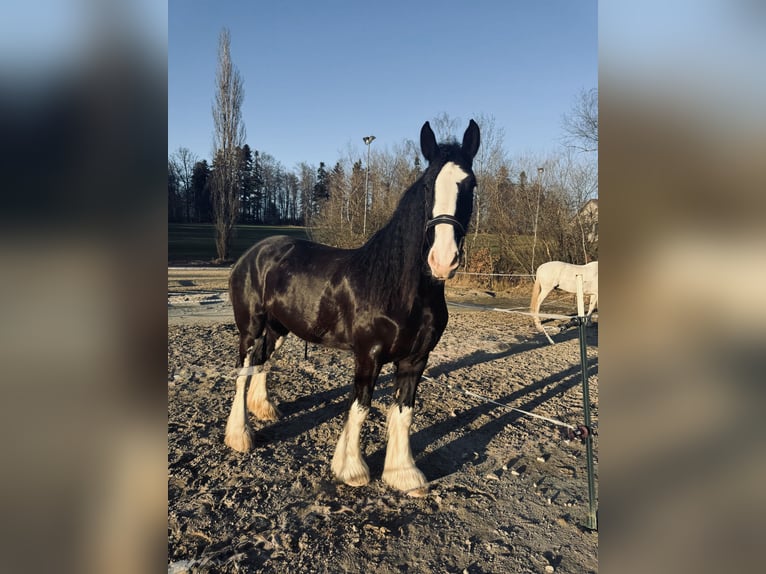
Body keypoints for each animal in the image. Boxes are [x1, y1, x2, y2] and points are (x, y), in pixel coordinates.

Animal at [224, 120, 480, 496]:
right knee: (244, 370)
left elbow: (404, 412)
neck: (401, 290)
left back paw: (265, 410)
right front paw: (352, 469)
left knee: (262, 362)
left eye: (470, 184)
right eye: (427, 185)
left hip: (279, 328)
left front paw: (403, 474)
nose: (443, 260)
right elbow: (360, 407)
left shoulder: (416, 359)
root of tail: (253, 253)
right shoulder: (368, 355)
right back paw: (240, 436)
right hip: (251, 327)